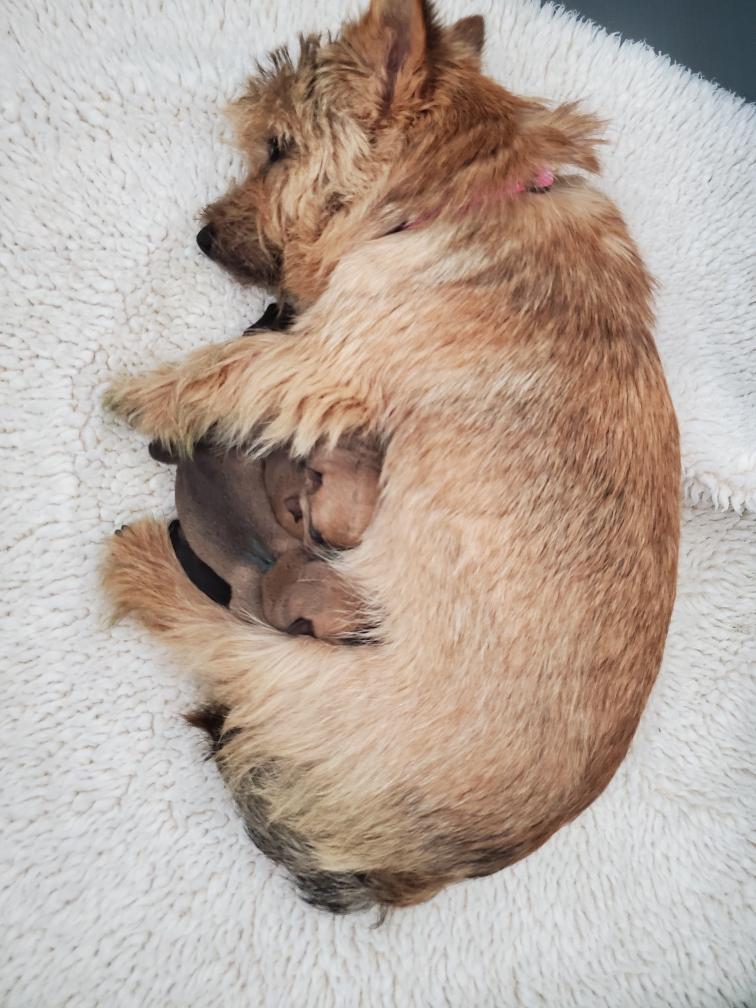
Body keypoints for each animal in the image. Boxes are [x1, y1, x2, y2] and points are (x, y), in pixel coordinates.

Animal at [103, 0, 680, 913]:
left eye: (278, 148)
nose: (201, 235)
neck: (461, 194)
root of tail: (433, 865)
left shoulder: (324, 358)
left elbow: (225, 367)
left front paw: (140, 391)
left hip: (300, 676)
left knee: (214, 639)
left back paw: (143, 563)